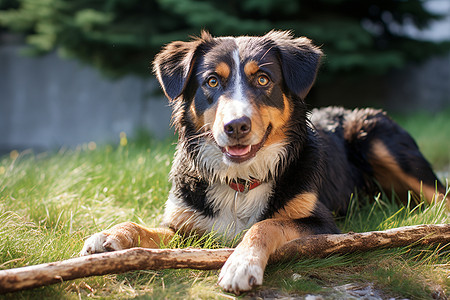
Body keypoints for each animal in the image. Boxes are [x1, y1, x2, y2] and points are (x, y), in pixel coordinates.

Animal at [80, 31, 446, 294]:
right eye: (212, 81)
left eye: (263, 80)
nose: (236, 126)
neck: (241, 181)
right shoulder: (186, 227)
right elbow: (142, 227)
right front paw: (111, 237)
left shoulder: (322, 225)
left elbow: (266, 224)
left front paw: (242, 265)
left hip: (377, 140)